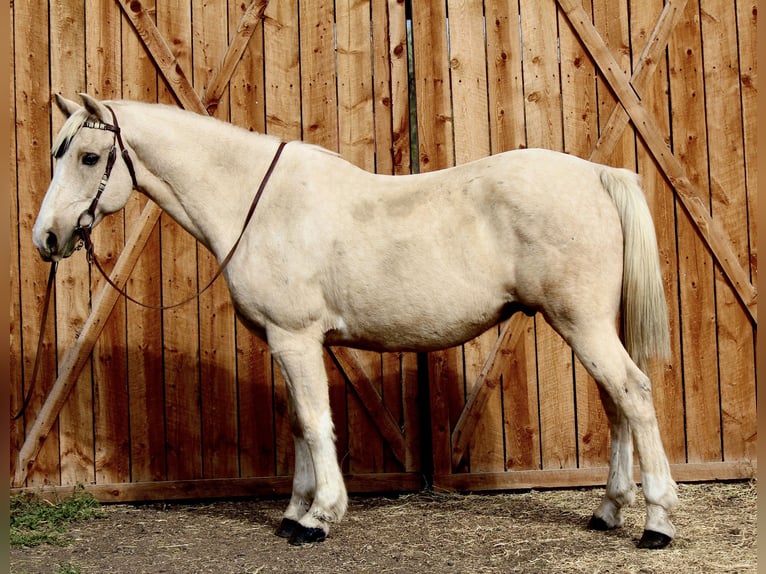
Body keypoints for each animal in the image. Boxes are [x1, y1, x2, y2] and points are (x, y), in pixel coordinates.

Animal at [33, 93, 678, 548]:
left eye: (89, 156)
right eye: (56, 154)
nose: (47, 238)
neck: (257, 203)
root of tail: (597, 175)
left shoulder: (296, 337)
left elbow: (317, 422)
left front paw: (319, 517)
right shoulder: (283, 341)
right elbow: (298, 422)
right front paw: (293, 512)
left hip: (582, 323)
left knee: (635, 394)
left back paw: (657, 522)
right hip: (588, 326)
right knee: (616, 405)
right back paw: (608, 511)